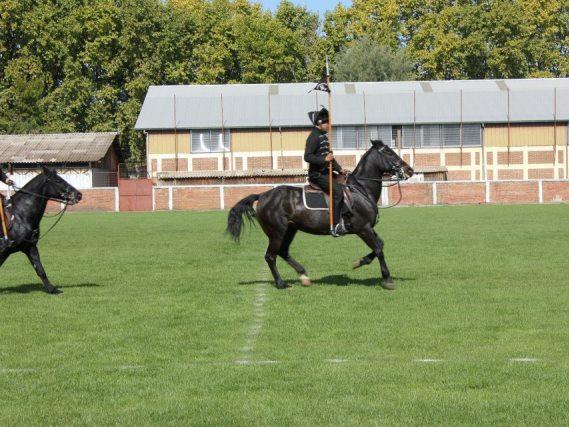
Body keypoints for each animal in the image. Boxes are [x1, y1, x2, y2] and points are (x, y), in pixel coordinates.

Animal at [226, 140, 412, 290]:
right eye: (389, 152)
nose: (409, 170)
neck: (361, 190)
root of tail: (263, 195)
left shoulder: (367, 229)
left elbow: (380, 245)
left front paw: (359, 262)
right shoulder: (363, 228)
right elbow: (379, 248)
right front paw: (387, 279)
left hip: (290, 230)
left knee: (283, 252)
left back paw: (303, 276)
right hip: (277, 232)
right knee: (270, 256)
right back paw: (281, 284)